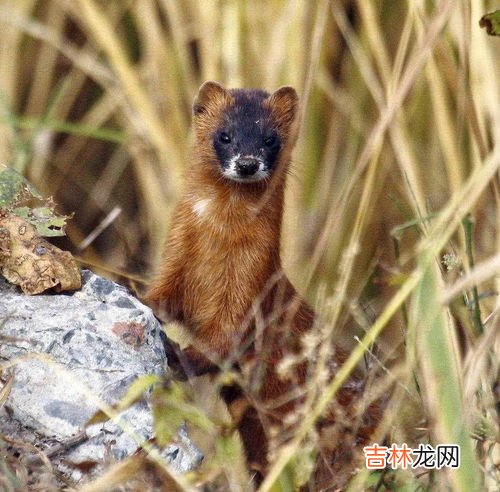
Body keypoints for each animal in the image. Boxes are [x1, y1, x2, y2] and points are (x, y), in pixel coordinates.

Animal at [145, 82, 382, 490]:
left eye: (270, 138)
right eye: (224, 135)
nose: (247, 162)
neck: (217, 246)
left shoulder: (250, 286)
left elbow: (225, 341)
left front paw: (180, 355)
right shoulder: (175, 260)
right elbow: (160, 298)